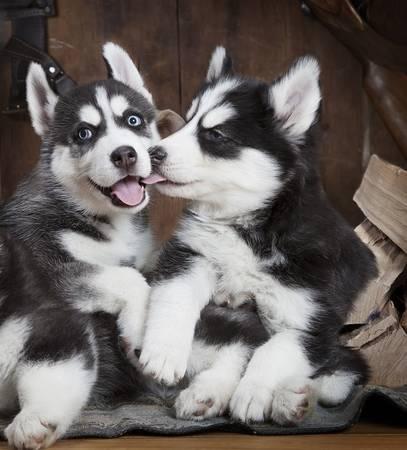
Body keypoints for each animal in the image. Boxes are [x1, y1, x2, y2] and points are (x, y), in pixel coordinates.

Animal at [141, 47, 380, 424]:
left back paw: (287, 398)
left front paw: (252, 393)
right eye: (188, 121)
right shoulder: (189, 256)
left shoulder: (312, 321)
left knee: (337, 376)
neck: (247, 227)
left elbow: (273, 350)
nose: (153, 153)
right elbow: (174, 298)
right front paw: (164, 352)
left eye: (216, 135)